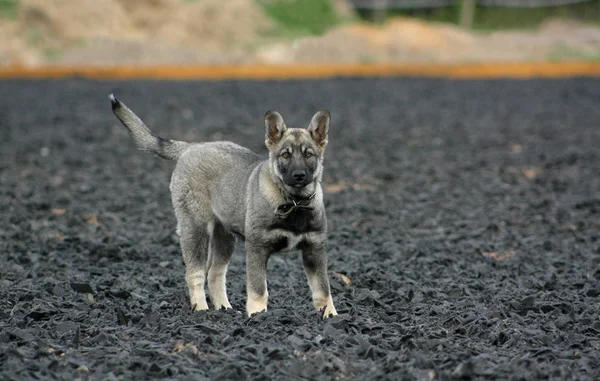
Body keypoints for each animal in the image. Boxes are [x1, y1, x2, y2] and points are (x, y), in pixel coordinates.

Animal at [109, 93, 338, 316]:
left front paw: (330, 315)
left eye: (309, 154)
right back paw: (201, 309)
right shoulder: (257, 247)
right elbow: (258, 288)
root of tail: (193, 146)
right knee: (195, 273)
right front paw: (258, 314)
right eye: (285, 155)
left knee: (215, 273)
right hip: (195, 229)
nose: (299, 176)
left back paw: (224, 308)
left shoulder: (315, 249)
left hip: (224, 235)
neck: (294, 201)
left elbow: (323, 289)